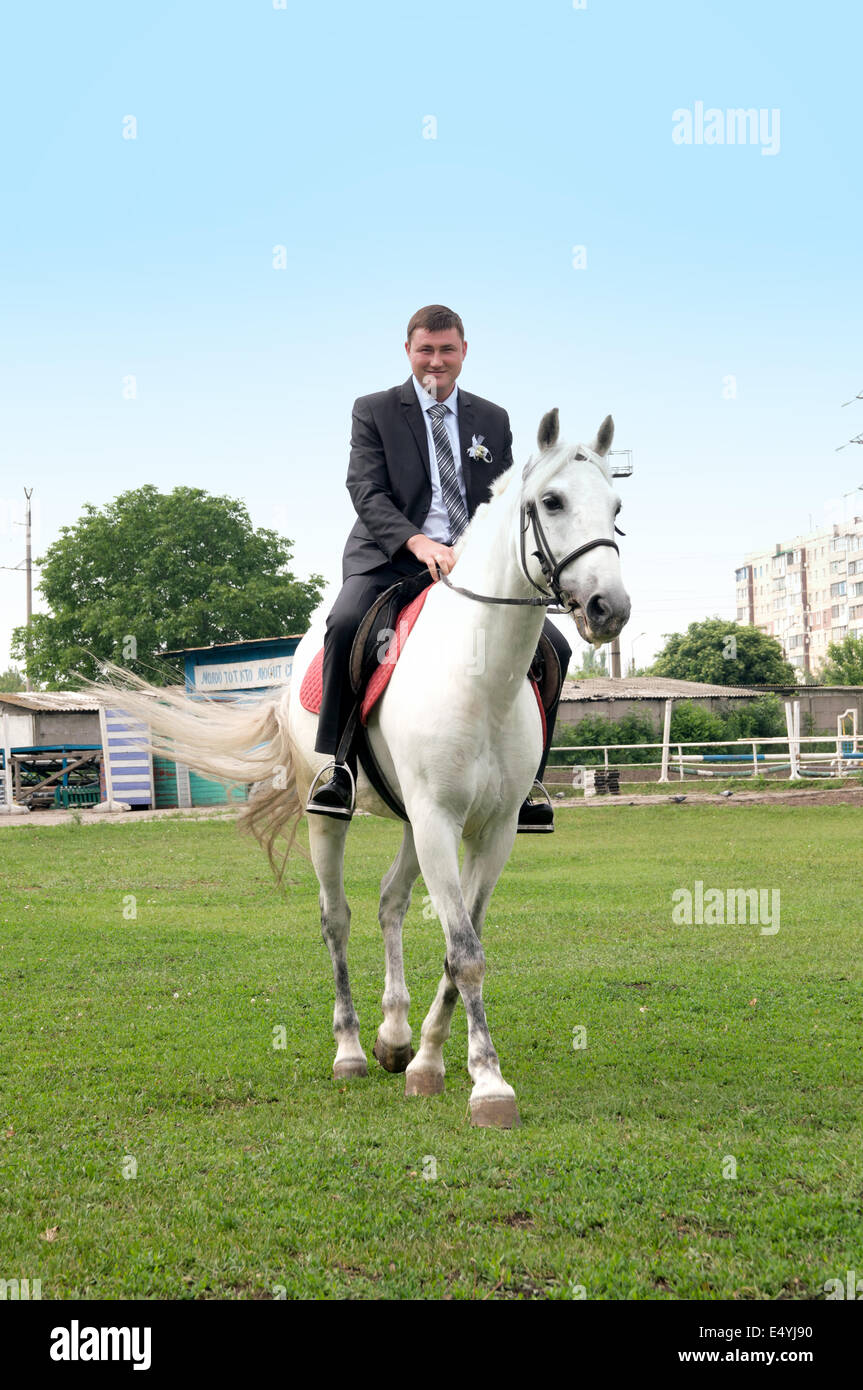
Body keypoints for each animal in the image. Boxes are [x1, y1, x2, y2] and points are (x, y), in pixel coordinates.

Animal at [91, 408, 630, 1128]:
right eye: (552, 502)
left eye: (616, 509)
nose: (609, 608)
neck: (481, 673)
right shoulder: (438, 821)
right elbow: (465, 952)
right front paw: (488, 1084)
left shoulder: (491, 831)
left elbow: (461, 944)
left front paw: (428, 1061)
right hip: (337, 817)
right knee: (338, 916)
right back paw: (349, 1049)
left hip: (409, 822)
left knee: (389, 903)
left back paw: (394, 1038)